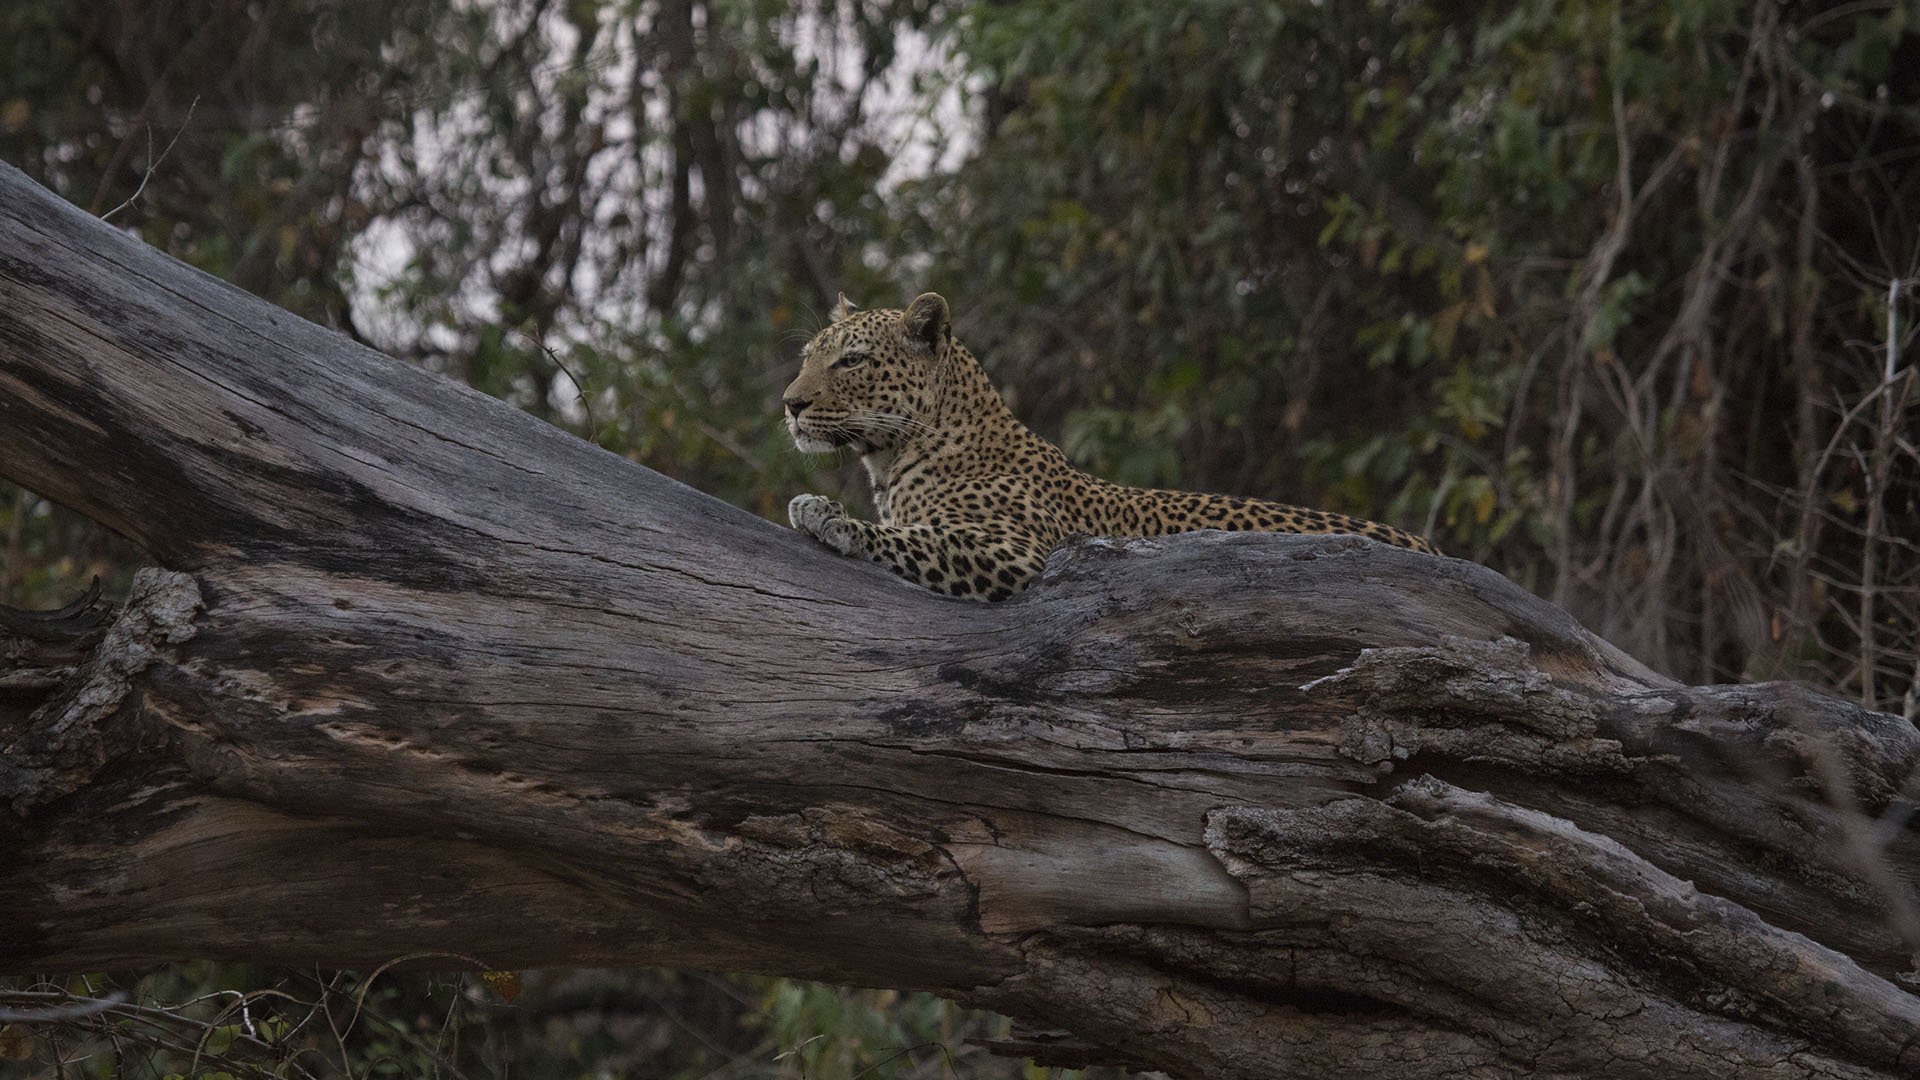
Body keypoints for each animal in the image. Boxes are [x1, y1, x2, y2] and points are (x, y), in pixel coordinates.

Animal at [779, 290, 1443, 599]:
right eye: (808, 355)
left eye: (852, 361)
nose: (789, 403)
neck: (892, 462)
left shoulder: (1018, 552)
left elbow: (911, 539)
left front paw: (827, 515)